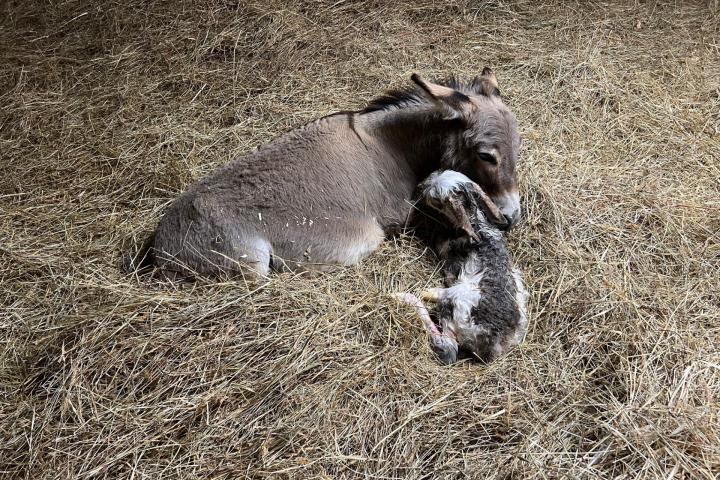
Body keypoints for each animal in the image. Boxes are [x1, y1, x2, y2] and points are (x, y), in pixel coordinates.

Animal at [400, 171, 528, 362]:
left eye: (437, 199)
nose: (421, 185)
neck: (477, 224)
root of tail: (492, 344)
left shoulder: (444, 246)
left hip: (457, 302)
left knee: (447, 347)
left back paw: (411, 295)